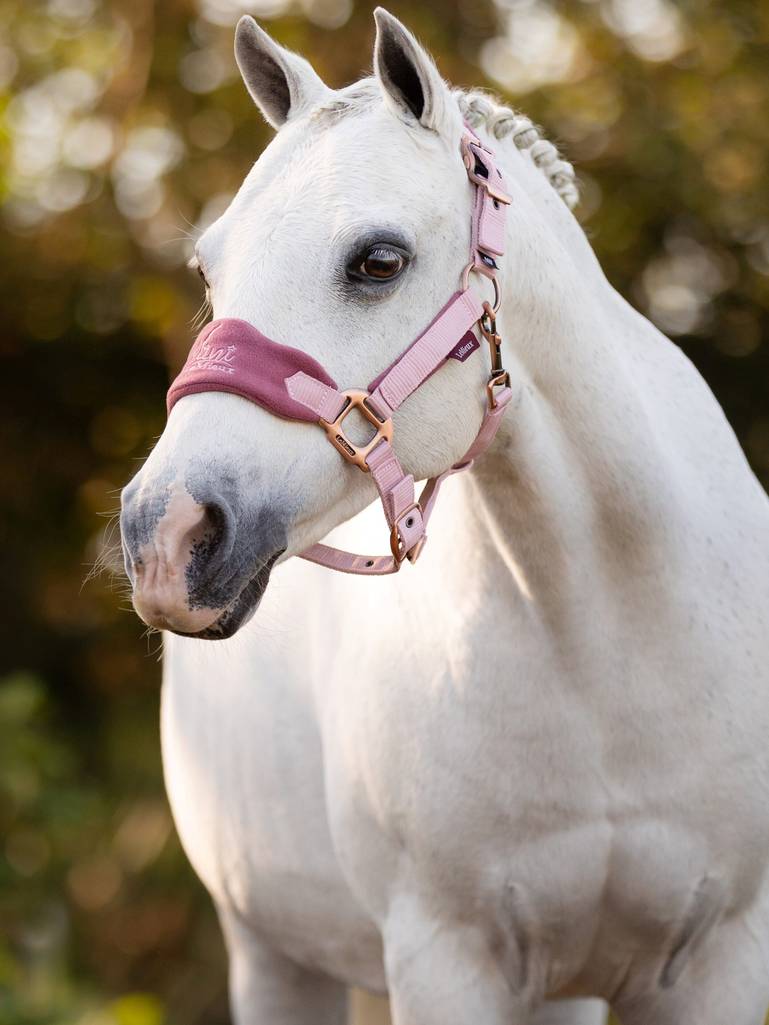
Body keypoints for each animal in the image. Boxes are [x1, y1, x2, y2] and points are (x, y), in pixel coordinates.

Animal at [118, 9, 769, 1025]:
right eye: (208, 268)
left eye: (378, 261)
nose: (166, 533)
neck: (611, 638)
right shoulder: (443, 958)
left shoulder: (719, 957)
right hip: (272, 950)